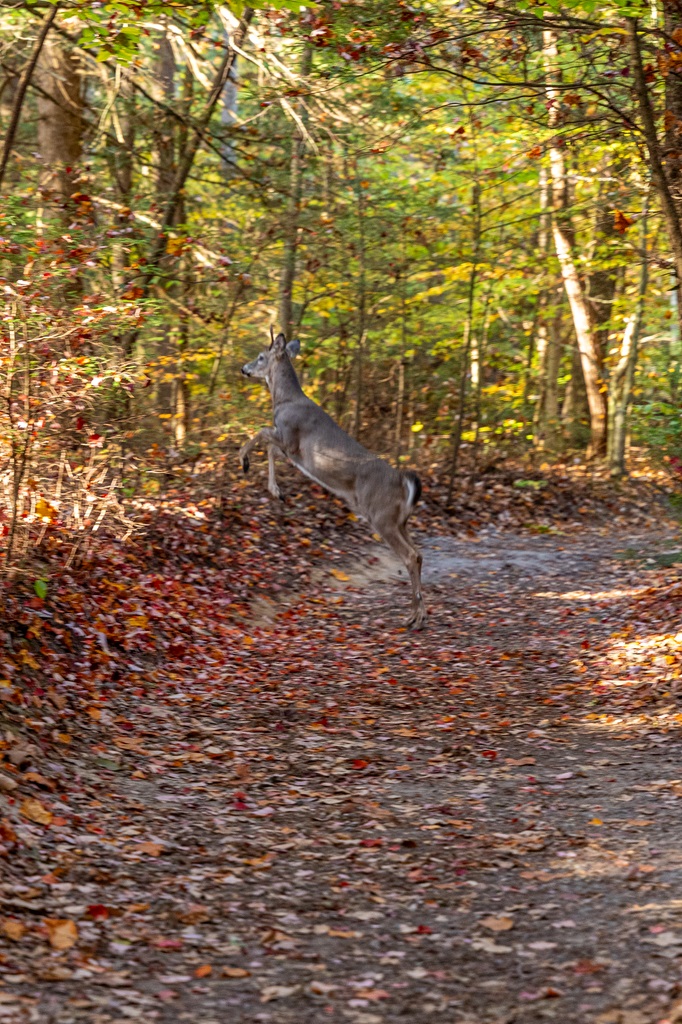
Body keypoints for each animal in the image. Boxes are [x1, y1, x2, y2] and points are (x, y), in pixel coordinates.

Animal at [236, 331, 421, 626]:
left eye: (261, 356)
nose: (244, 368)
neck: (284, 401)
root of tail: (404, 484)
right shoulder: (292, 450)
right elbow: (270, 447)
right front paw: (277, 491)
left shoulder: (290, 436)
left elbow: (262, 432)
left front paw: (243, 460)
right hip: (400, 520)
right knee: (419, 554)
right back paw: (419, 613)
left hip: (381, 516)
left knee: (411, 555)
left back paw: (414, 617)